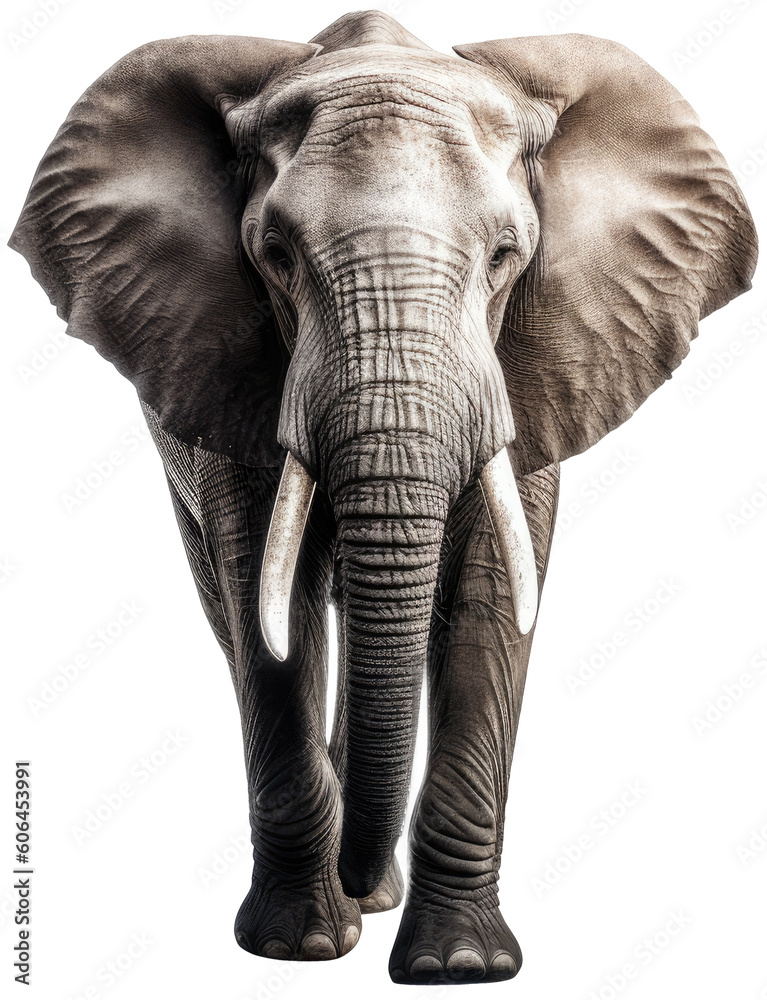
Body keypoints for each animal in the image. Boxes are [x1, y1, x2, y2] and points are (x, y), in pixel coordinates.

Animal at [11, 8, 757, 987]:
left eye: (506, 258)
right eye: (275, 257)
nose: (358, 883)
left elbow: (488, 598)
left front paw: (458, 966)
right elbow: (272, 608)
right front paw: (299, 947)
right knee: (240, 610)